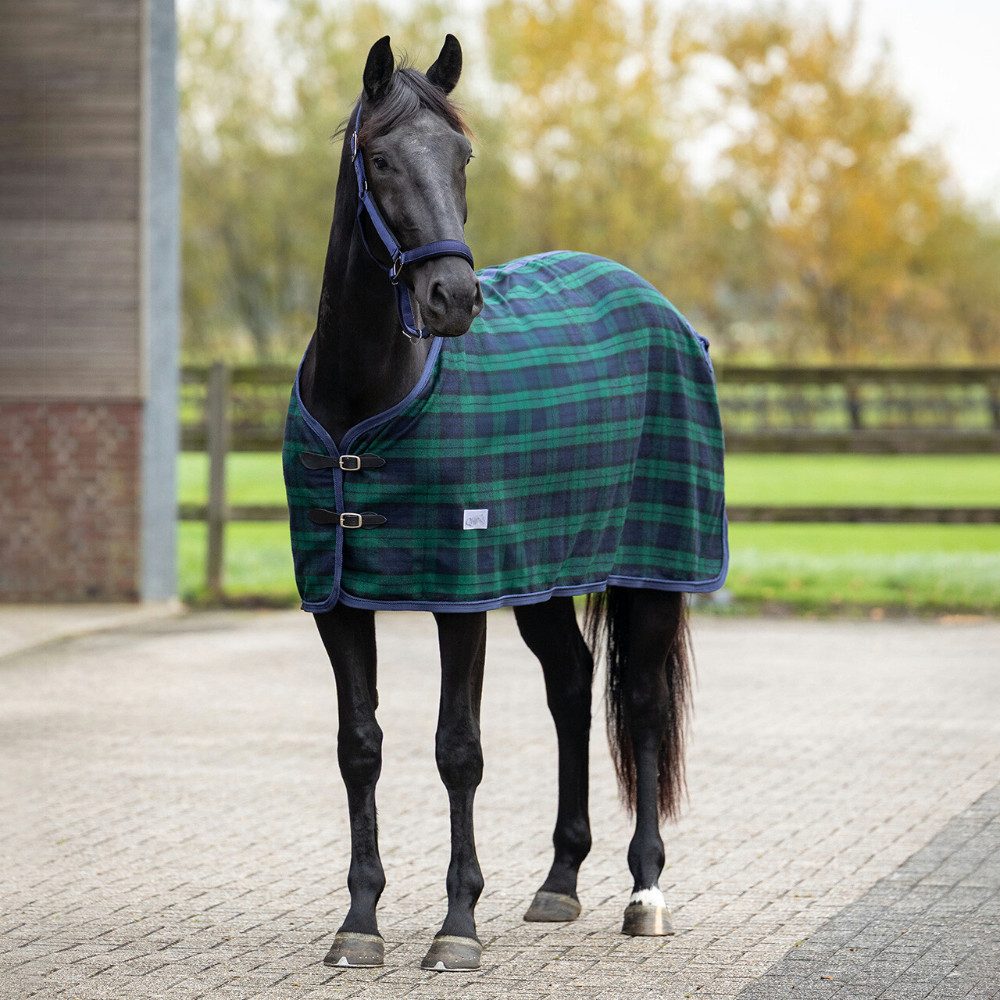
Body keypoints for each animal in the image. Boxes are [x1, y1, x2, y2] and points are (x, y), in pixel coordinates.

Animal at [286, 34, 727, 972]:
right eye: (382, 158)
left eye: (462, 156)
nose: (453, 298)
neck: (365, 397)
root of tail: (667, 313)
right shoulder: (337, 599)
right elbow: (359, 747)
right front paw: (360, 922)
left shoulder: (462, 595)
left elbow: (459, 750)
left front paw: (456, 927)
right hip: (543, 582)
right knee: (572, 684)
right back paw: (559, 880)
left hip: (652, 575)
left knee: (640, 703)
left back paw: (645, 892)